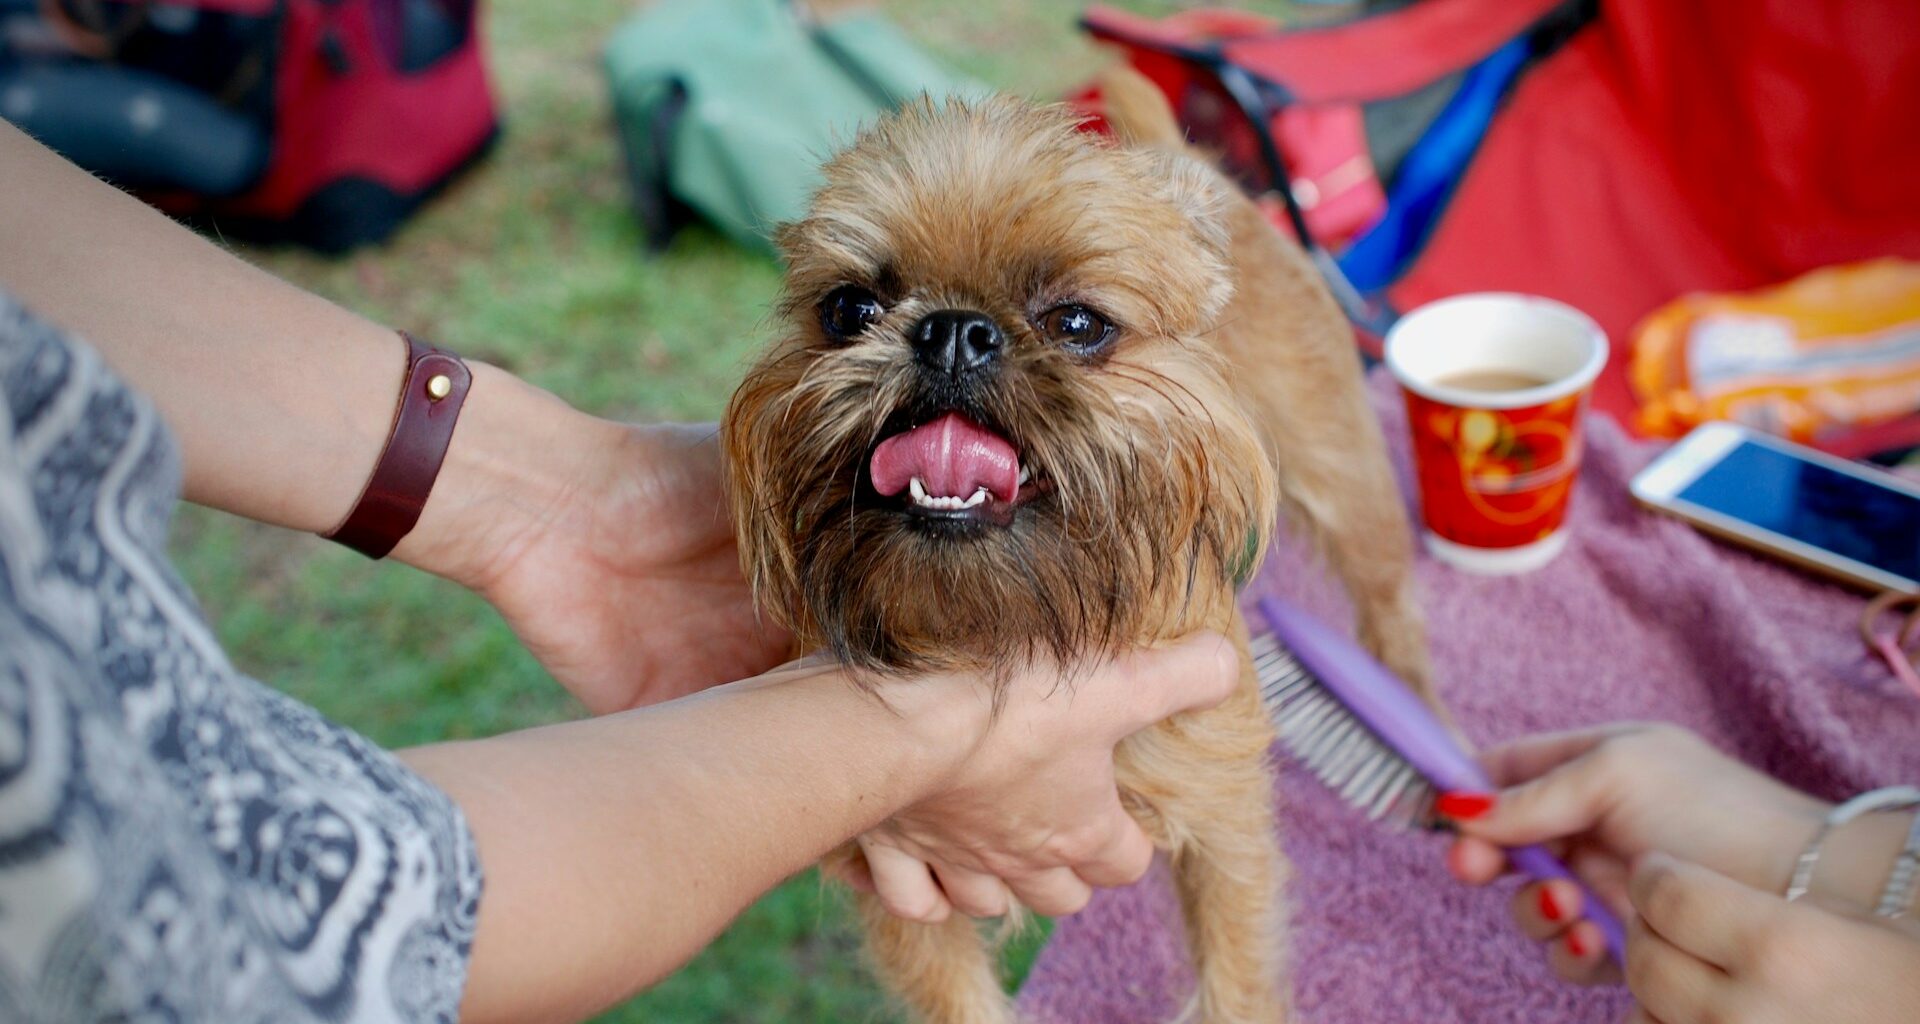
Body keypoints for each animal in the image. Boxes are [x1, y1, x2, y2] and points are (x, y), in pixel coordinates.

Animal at [725, 69, 1436, 1022]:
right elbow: (961, 1004)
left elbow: (1236, 979)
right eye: (848, 310)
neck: (1008, 638)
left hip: (1344, 472)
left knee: (1390, 601)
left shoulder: (1224, 829)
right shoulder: (905, 884)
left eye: (1078, 324)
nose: (953, 330)